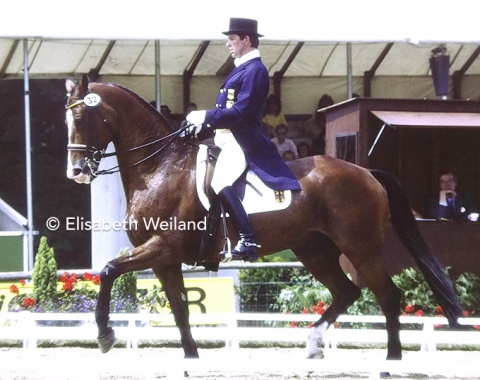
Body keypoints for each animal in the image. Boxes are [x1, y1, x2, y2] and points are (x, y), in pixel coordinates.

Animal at [64, 75, 462, 360]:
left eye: (81, 117)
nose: (76, 172)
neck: (160, 167)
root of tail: (367, 173)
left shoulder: (163, 247)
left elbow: (108, 271)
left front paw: (105, 335)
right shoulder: (165, 259)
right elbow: (179, 311)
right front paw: (190, 360)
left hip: (360, 249)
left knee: (388, 296)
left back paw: (391, 361)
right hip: (315, 250)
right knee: (347, 291)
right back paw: (313, 343)